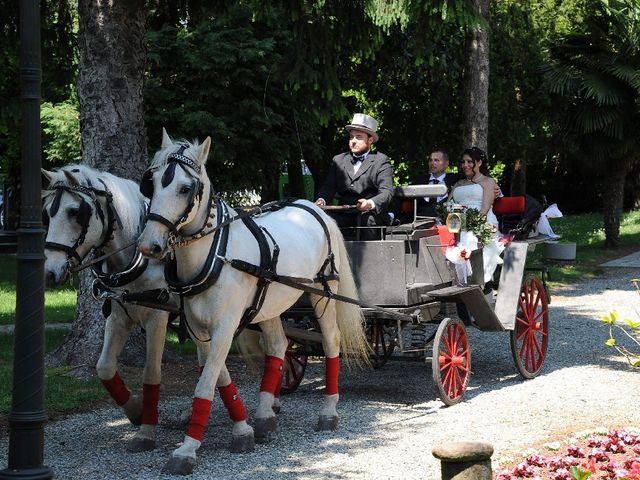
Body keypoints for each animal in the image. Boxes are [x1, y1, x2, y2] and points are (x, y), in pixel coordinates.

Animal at [42, 167, 255, 456]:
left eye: (75, 212)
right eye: (47, 213)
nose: (50, 272)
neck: (138, 258)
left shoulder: (157, 317)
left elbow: (151, 373)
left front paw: (146, 431)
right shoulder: (119, 315)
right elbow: (104, 367)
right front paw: (136, 411)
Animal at [140, 130, 370, 476]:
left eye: (185, 188)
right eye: (150, 183)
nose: (149, 244)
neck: (215, 253)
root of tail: (314, 208)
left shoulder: (225, 326)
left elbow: (205, 385)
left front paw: (186, 450)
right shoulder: (198, 329)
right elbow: (218, 377)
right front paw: (243, 429)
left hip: (323, 291)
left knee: (331, 342)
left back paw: (328, 412)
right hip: (270, 303)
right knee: (277, 347)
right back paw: (264, 416)